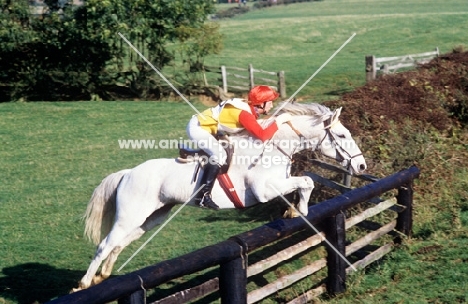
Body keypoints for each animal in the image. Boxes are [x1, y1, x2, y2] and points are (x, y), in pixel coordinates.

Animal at [74, 102, 366, 290]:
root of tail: (127, 173)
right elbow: (306, 181)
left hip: (152, 216)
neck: (274, 146)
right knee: (105, 244)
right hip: (131, 214)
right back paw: (85, 283)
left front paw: (295, 209)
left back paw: (103, 274)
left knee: (120, 242)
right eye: (342, 135)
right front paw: (299, 209)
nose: (362, 166)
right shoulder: (262, 190)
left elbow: (304, 183)